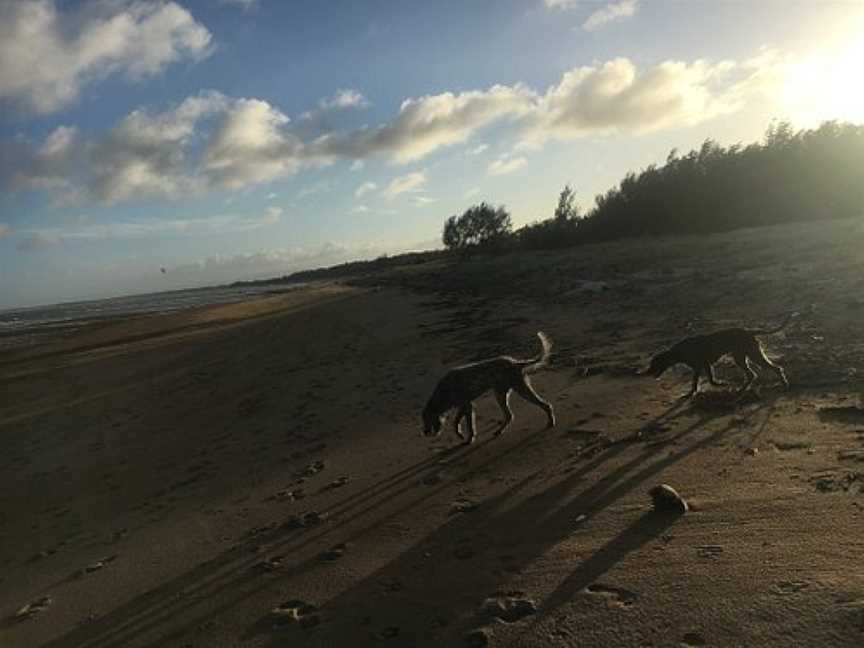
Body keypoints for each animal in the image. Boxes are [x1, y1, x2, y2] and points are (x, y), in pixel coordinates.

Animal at [424, 332, 556, 442]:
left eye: (427, 421)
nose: (425, 433)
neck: (444, 391)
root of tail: (516, 363)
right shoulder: (463, 406)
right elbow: (456, 423)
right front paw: (460, 435)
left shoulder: (467, 406)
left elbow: (469, 426)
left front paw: (470, 438)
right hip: (500, 394)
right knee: (509, 416)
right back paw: (499, 431)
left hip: (521, 389)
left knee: (546, 405)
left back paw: (551, 422)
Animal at [640, 312, 796, 398]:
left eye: (654, 364)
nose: (647, 372)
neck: (678, 351)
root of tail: (749, 331)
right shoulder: (706, 365)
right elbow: (710, 380)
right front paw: (720, 384)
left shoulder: (698, 367)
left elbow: (695, 382)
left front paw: (691, 393)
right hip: (741, 357)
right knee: (752, 375)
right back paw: (742, 389)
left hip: (751, 356)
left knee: (775, 368)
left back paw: (784, 383)